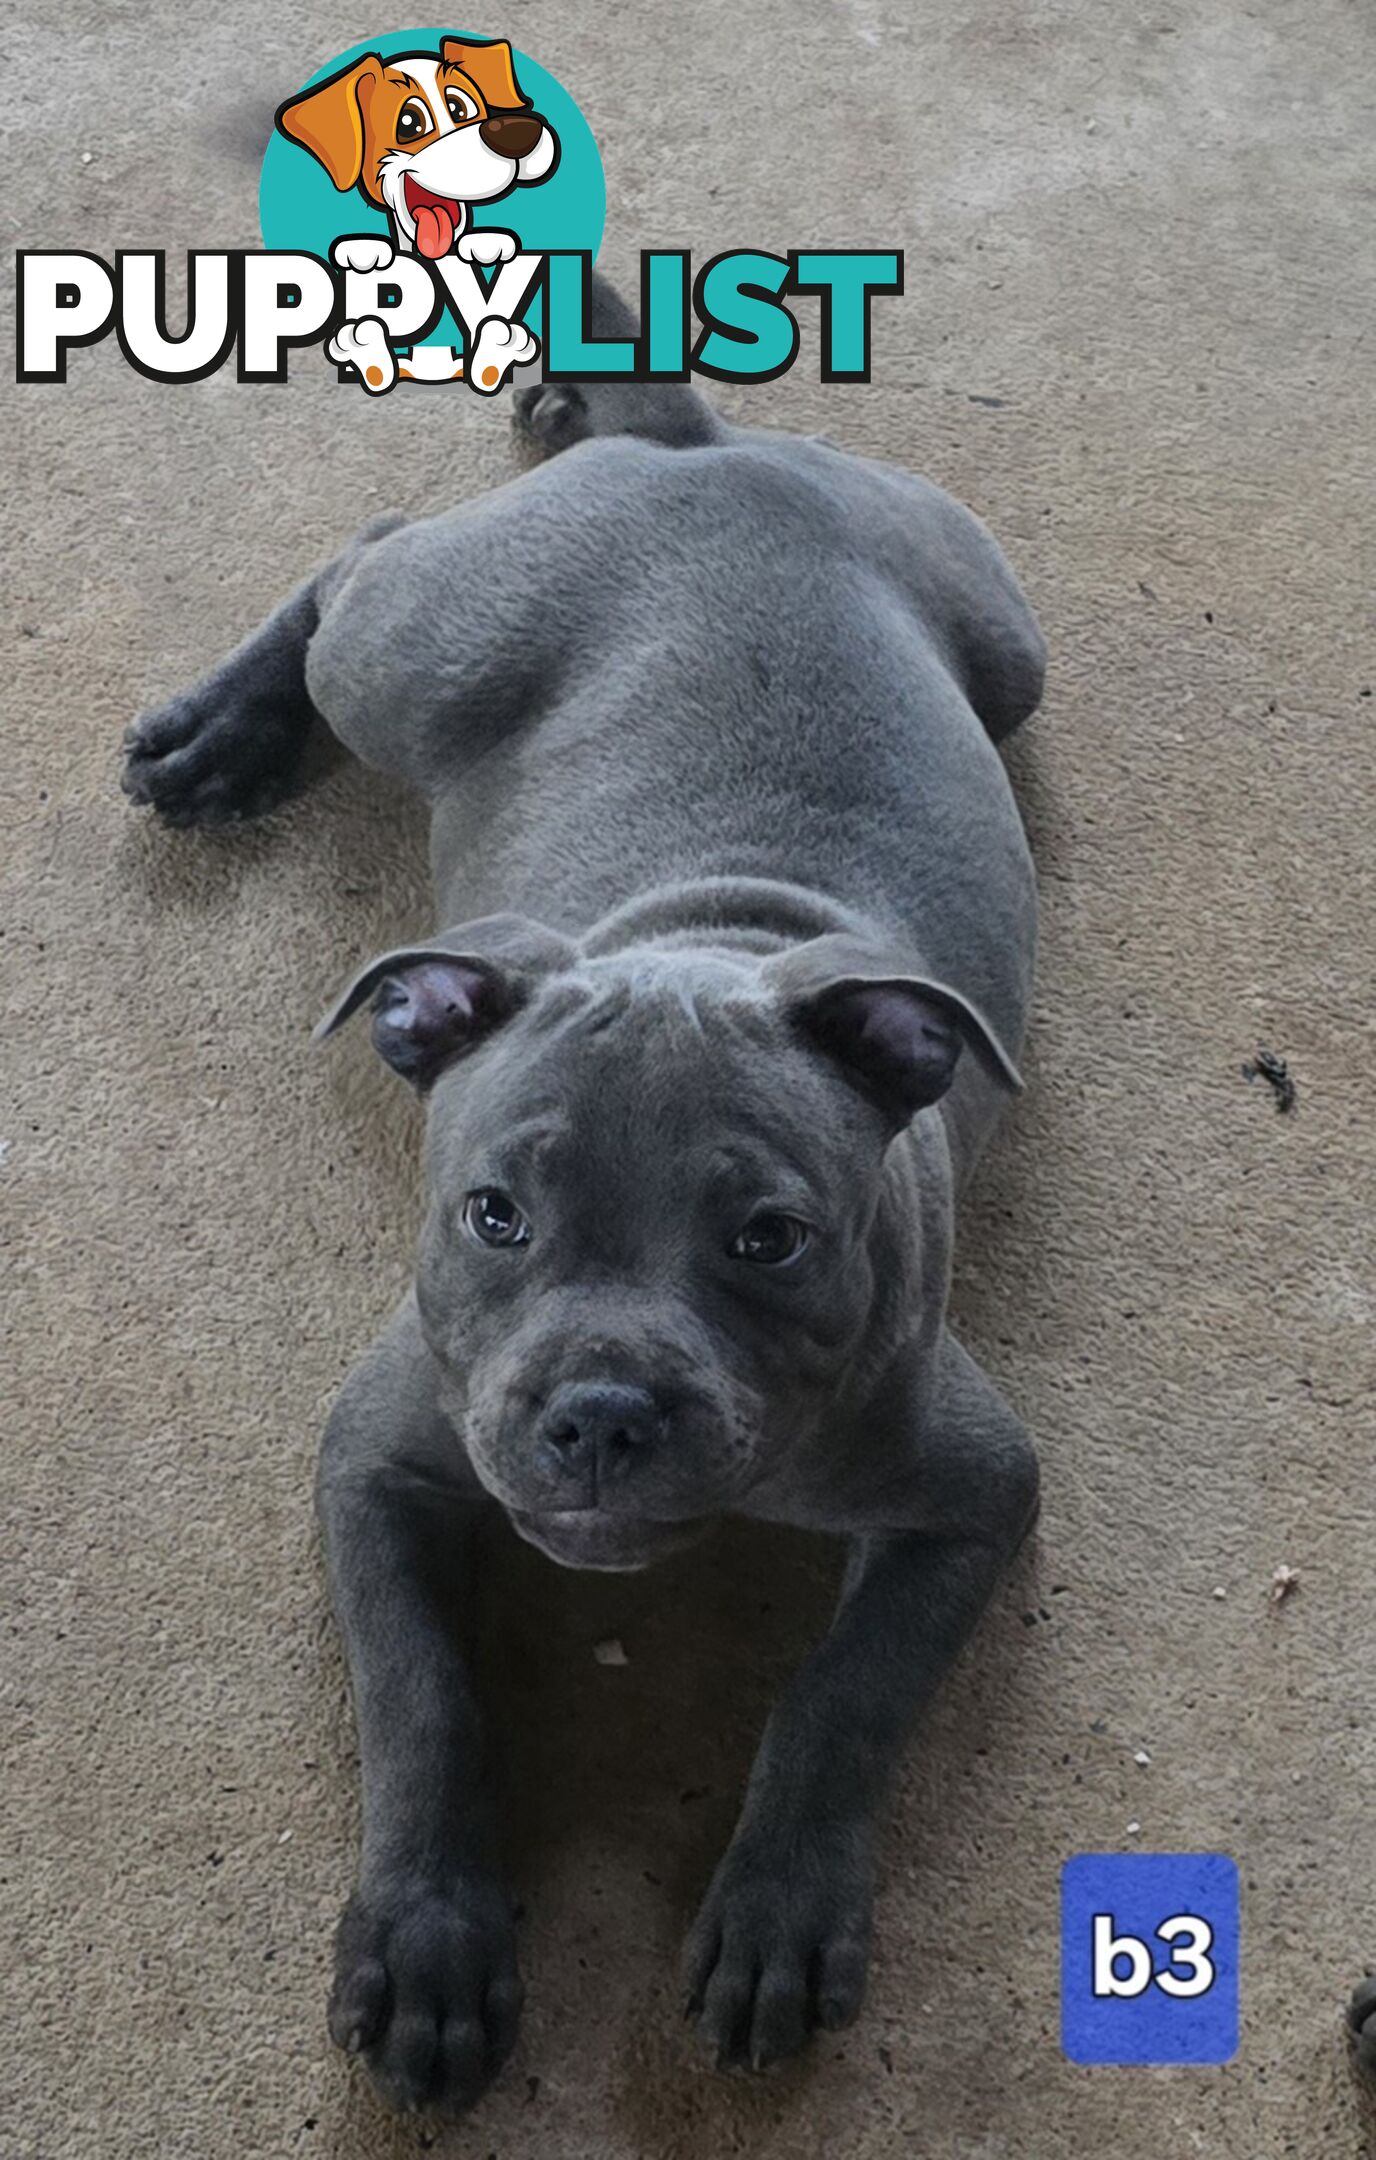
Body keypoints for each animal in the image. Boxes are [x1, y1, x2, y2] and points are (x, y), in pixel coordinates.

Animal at [123, 282, 1041, 2108]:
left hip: (1006, 650)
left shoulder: (977, 1490)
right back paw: (219, 734)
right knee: (360, 557)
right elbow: (424, 1700)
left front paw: (776, 1912)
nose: (604, 1415)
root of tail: (708, 453)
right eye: (494, 1215)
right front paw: (429, 1943)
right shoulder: (380, 1455)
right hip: (422, 651)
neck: (719, 935)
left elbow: (841, 1696)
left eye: (772, 1240)